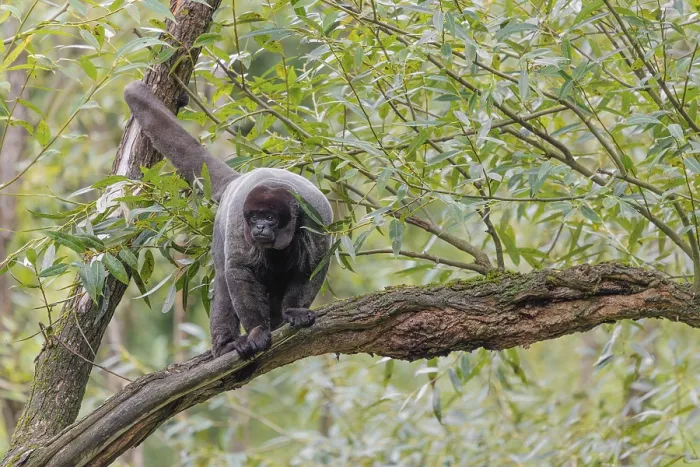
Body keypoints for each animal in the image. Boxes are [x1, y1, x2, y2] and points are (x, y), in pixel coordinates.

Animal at [124, 81, 332, 360]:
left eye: (270, 217)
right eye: (254, 217)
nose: (260, 227)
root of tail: (238, 179)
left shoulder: (317, 220)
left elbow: (311, 267)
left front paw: (294, 312)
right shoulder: (237, 223)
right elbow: (238, 271)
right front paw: (257, 331)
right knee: (223, 284)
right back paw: (226, 344)